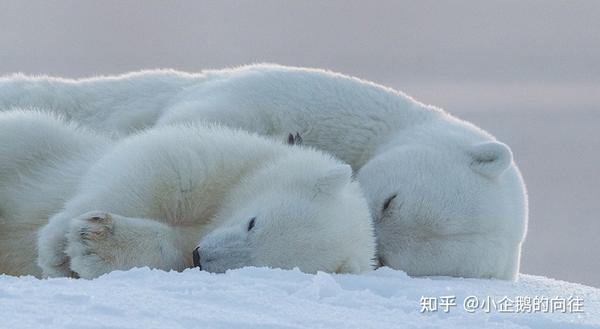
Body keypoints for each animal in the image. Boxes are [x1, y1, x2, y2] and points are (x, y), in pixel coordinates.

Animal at [0, 109, 376, 276]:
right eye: (253, 222)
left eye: (259, 264)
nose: (201, 256)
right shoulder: (226, 161)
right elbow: (155, 169)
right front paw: (56, 246)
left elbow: (165, 252)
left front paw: (92, 244)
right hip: (38, 142)